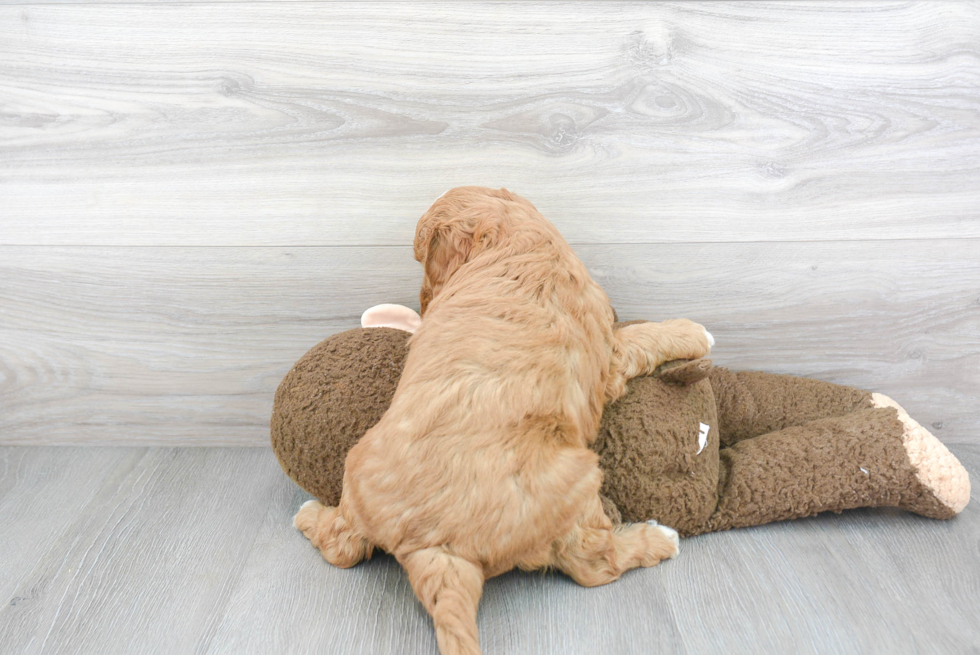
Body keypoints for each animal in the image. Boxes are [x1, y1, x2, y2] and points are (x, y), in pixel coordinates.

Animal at [294, 187, 716, 652]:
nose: (424, 303)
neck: (515, 239)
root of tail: (434, 546)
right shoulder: (609, 353)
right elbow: (643, 337)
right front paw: (694, 331)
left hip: (357, 473)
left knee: (341, 546)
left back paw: (308, 514)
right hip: (576, 477)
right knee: (591, 562)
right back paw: (660, 538)